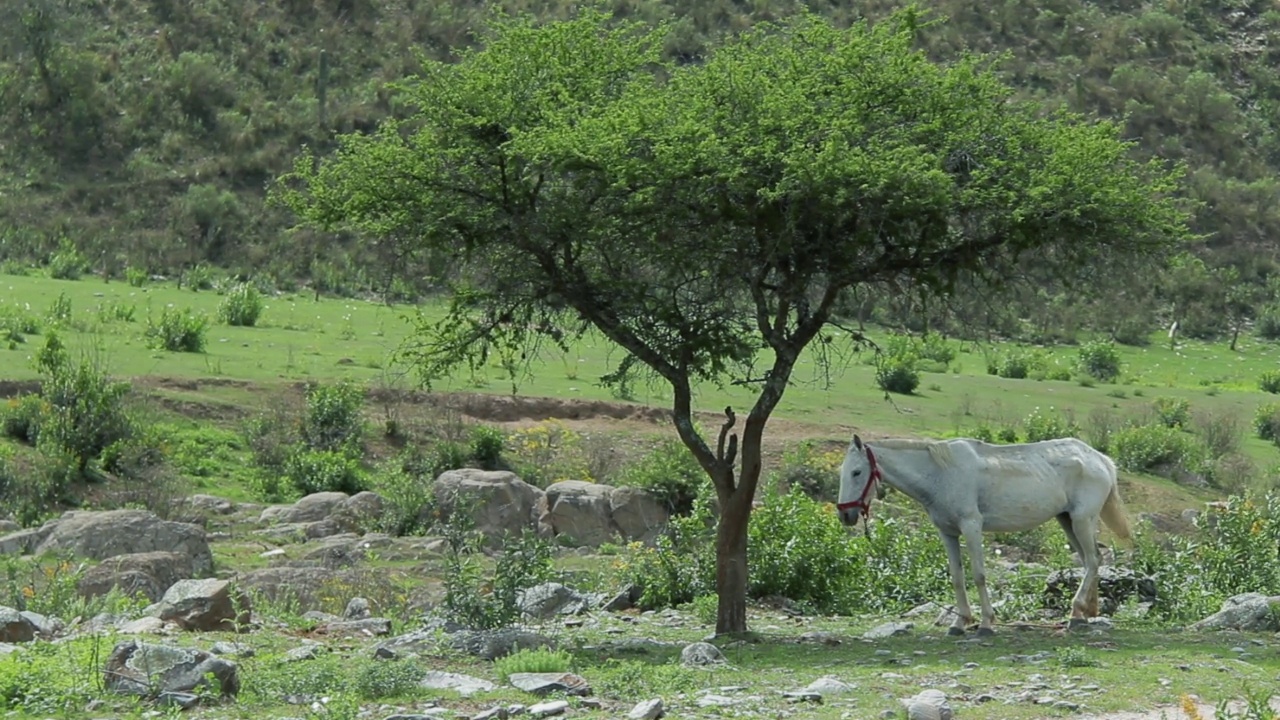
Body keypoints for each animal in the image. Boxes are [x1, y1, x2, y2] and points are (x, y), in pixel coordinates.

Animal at [839, 430, 1131, 632]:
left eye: (857, 472)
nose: (845, 514)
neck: (941, 474)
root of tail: (1100, 459)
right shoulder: (948, 533)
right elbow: (957, 577)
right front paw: (960, 623)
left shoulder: (971, 527)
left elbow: (979, 575)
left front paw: (986, 624)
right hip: (1067, 521)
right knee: (1090, 561)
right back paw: (1085, 614)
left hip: (1082, 520)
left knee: (1092, 561)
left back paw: (1075, 612)